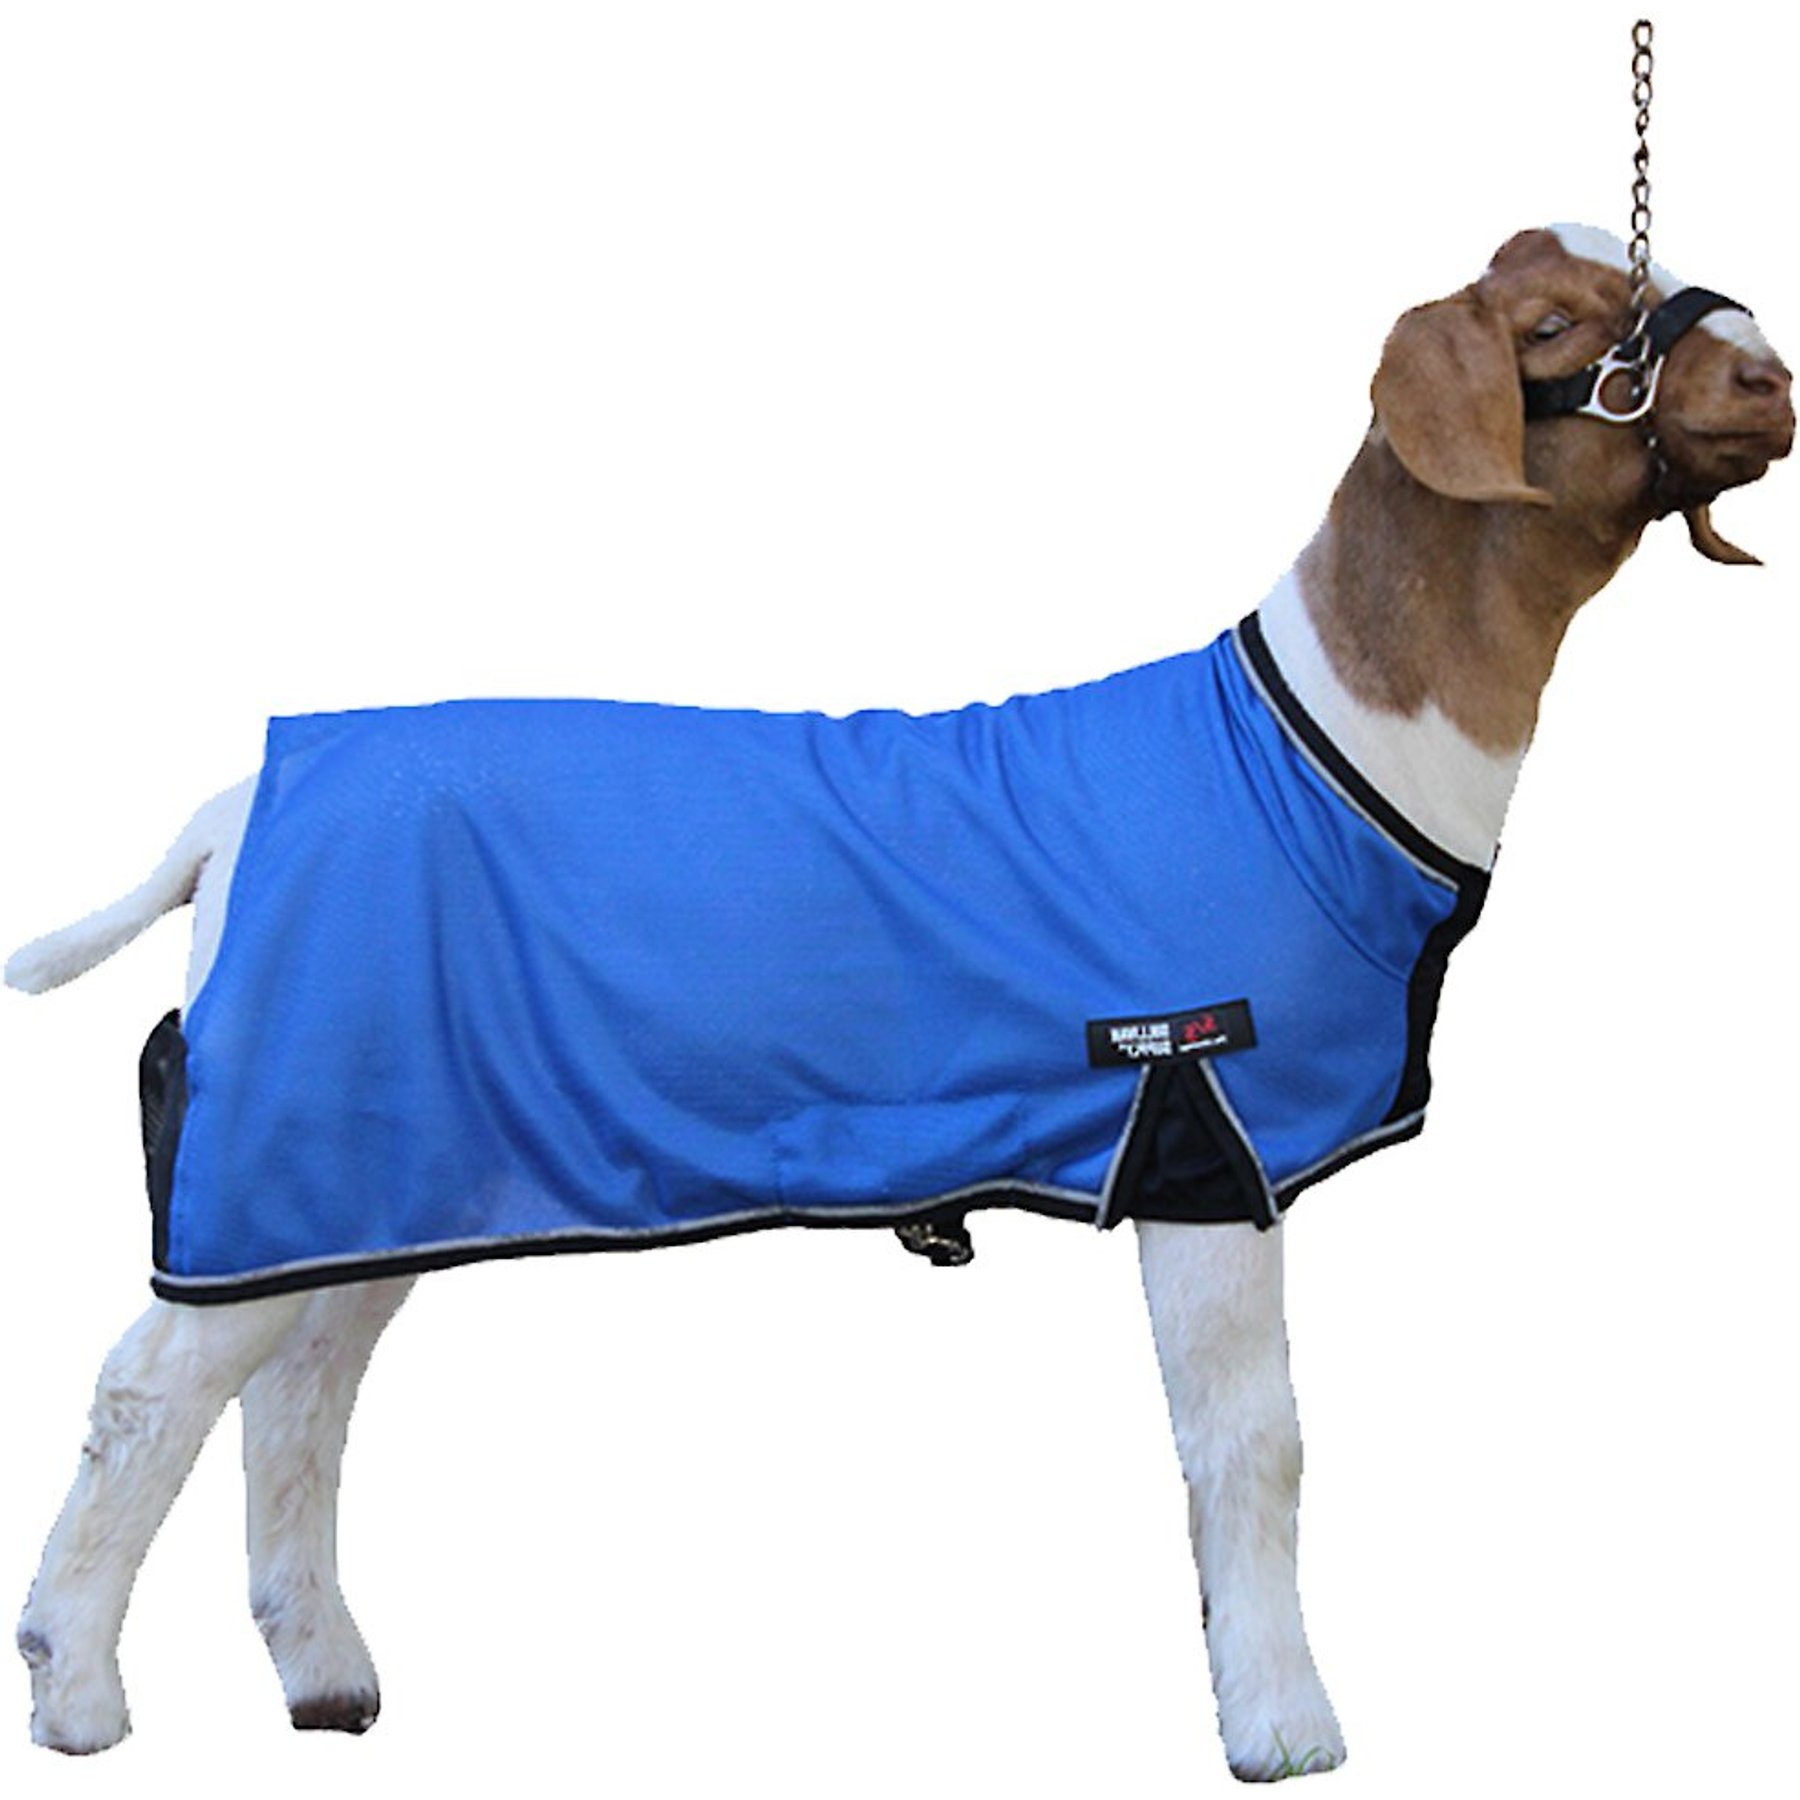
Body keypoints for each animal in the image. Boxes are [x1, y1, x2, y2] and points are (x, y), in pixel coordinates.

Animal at [5, 224, 1792, 1781]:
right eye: (1553, 326)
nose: (1769, 370)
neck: (1318, 752)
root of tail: (235, 809)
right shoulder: (1201, 1125)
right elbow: (1255, 1441)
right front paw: (1284, 1726)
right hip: (285, 1120)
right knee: (150, 1392)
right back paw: (77, 1687)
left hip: (373, 1142)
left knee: (303, 1387)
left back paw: (322, 1672)